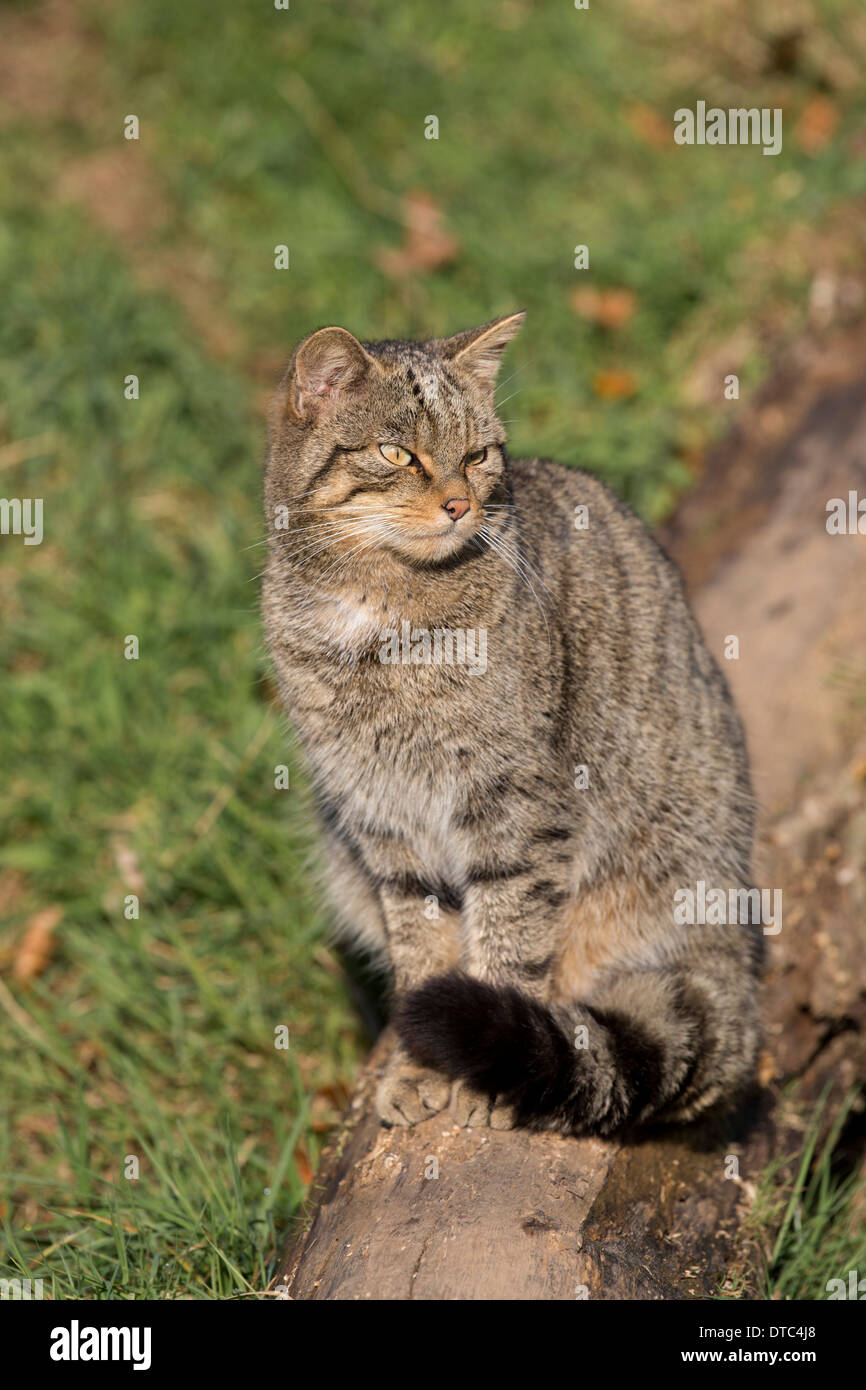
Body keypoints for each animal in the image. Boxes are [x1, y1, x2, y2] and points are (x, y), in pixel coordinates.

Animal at [261, 318, 761, 1139]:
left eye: (478, 454)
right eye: (397, 453)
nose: (459, 504)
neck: (380, 616)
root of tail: (738, 947)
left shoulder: (516, 806)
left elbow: (510, 937)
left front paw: (480, 1060)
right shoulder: (381, 816)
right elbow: (421, 949)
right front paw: (414, 1066)